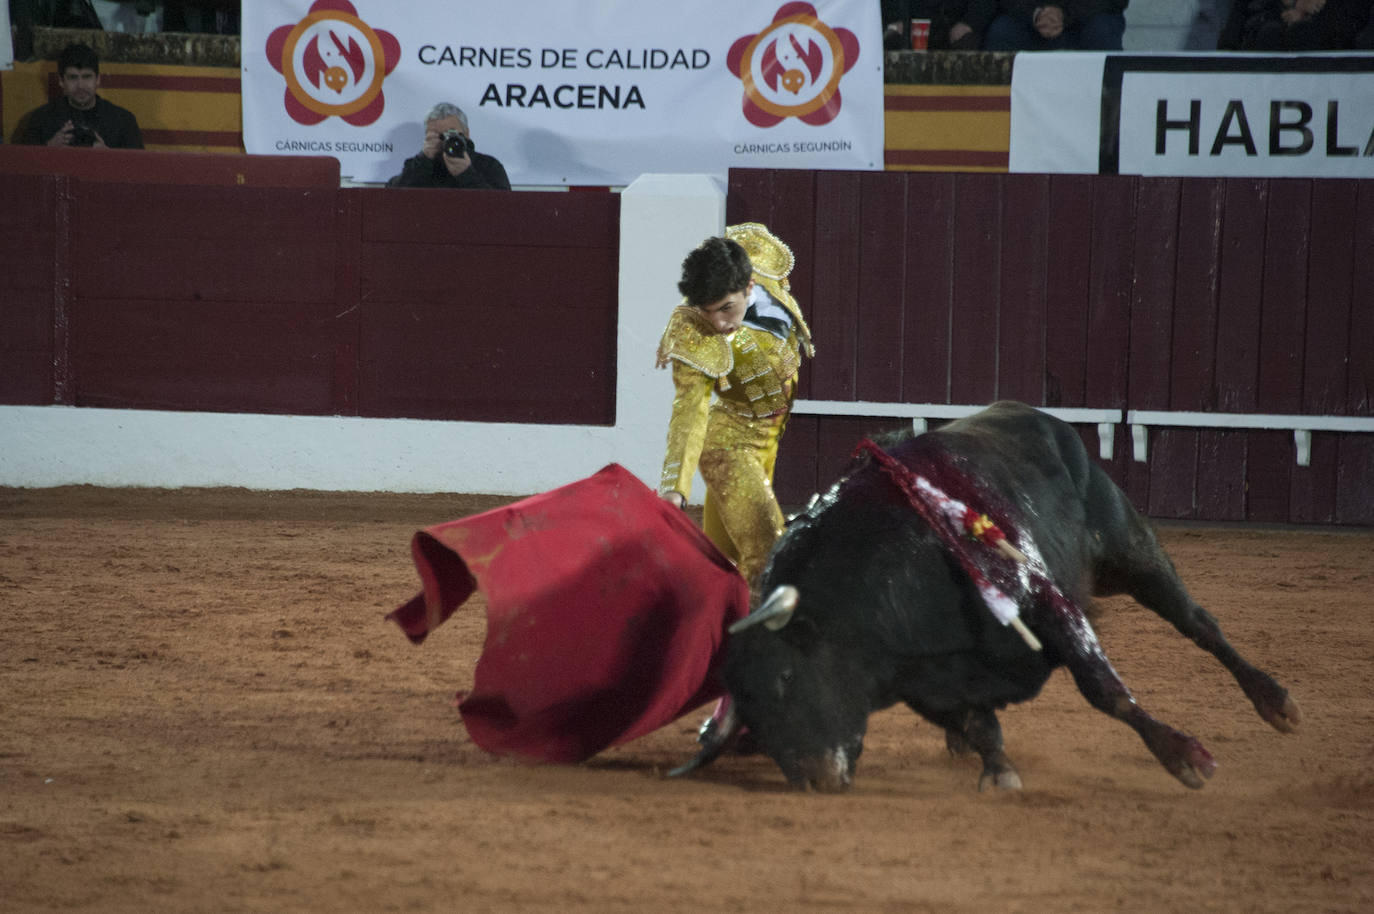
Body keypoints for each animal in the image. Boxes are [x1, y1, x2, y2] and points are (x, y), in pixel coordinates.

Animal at [673, 398, 1297, 791]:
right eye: (748, 707)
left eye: (785, 677)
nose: (814, 779)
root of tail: (1033, 415)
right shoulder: (924, 682)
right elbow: (978, 724)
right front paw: (996, 770)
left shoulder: (1048, 606)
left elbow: (1104, 690)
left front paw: (1184, 757)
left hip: (1130, 552)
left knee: (1198, 622)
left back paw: (1275, 702)